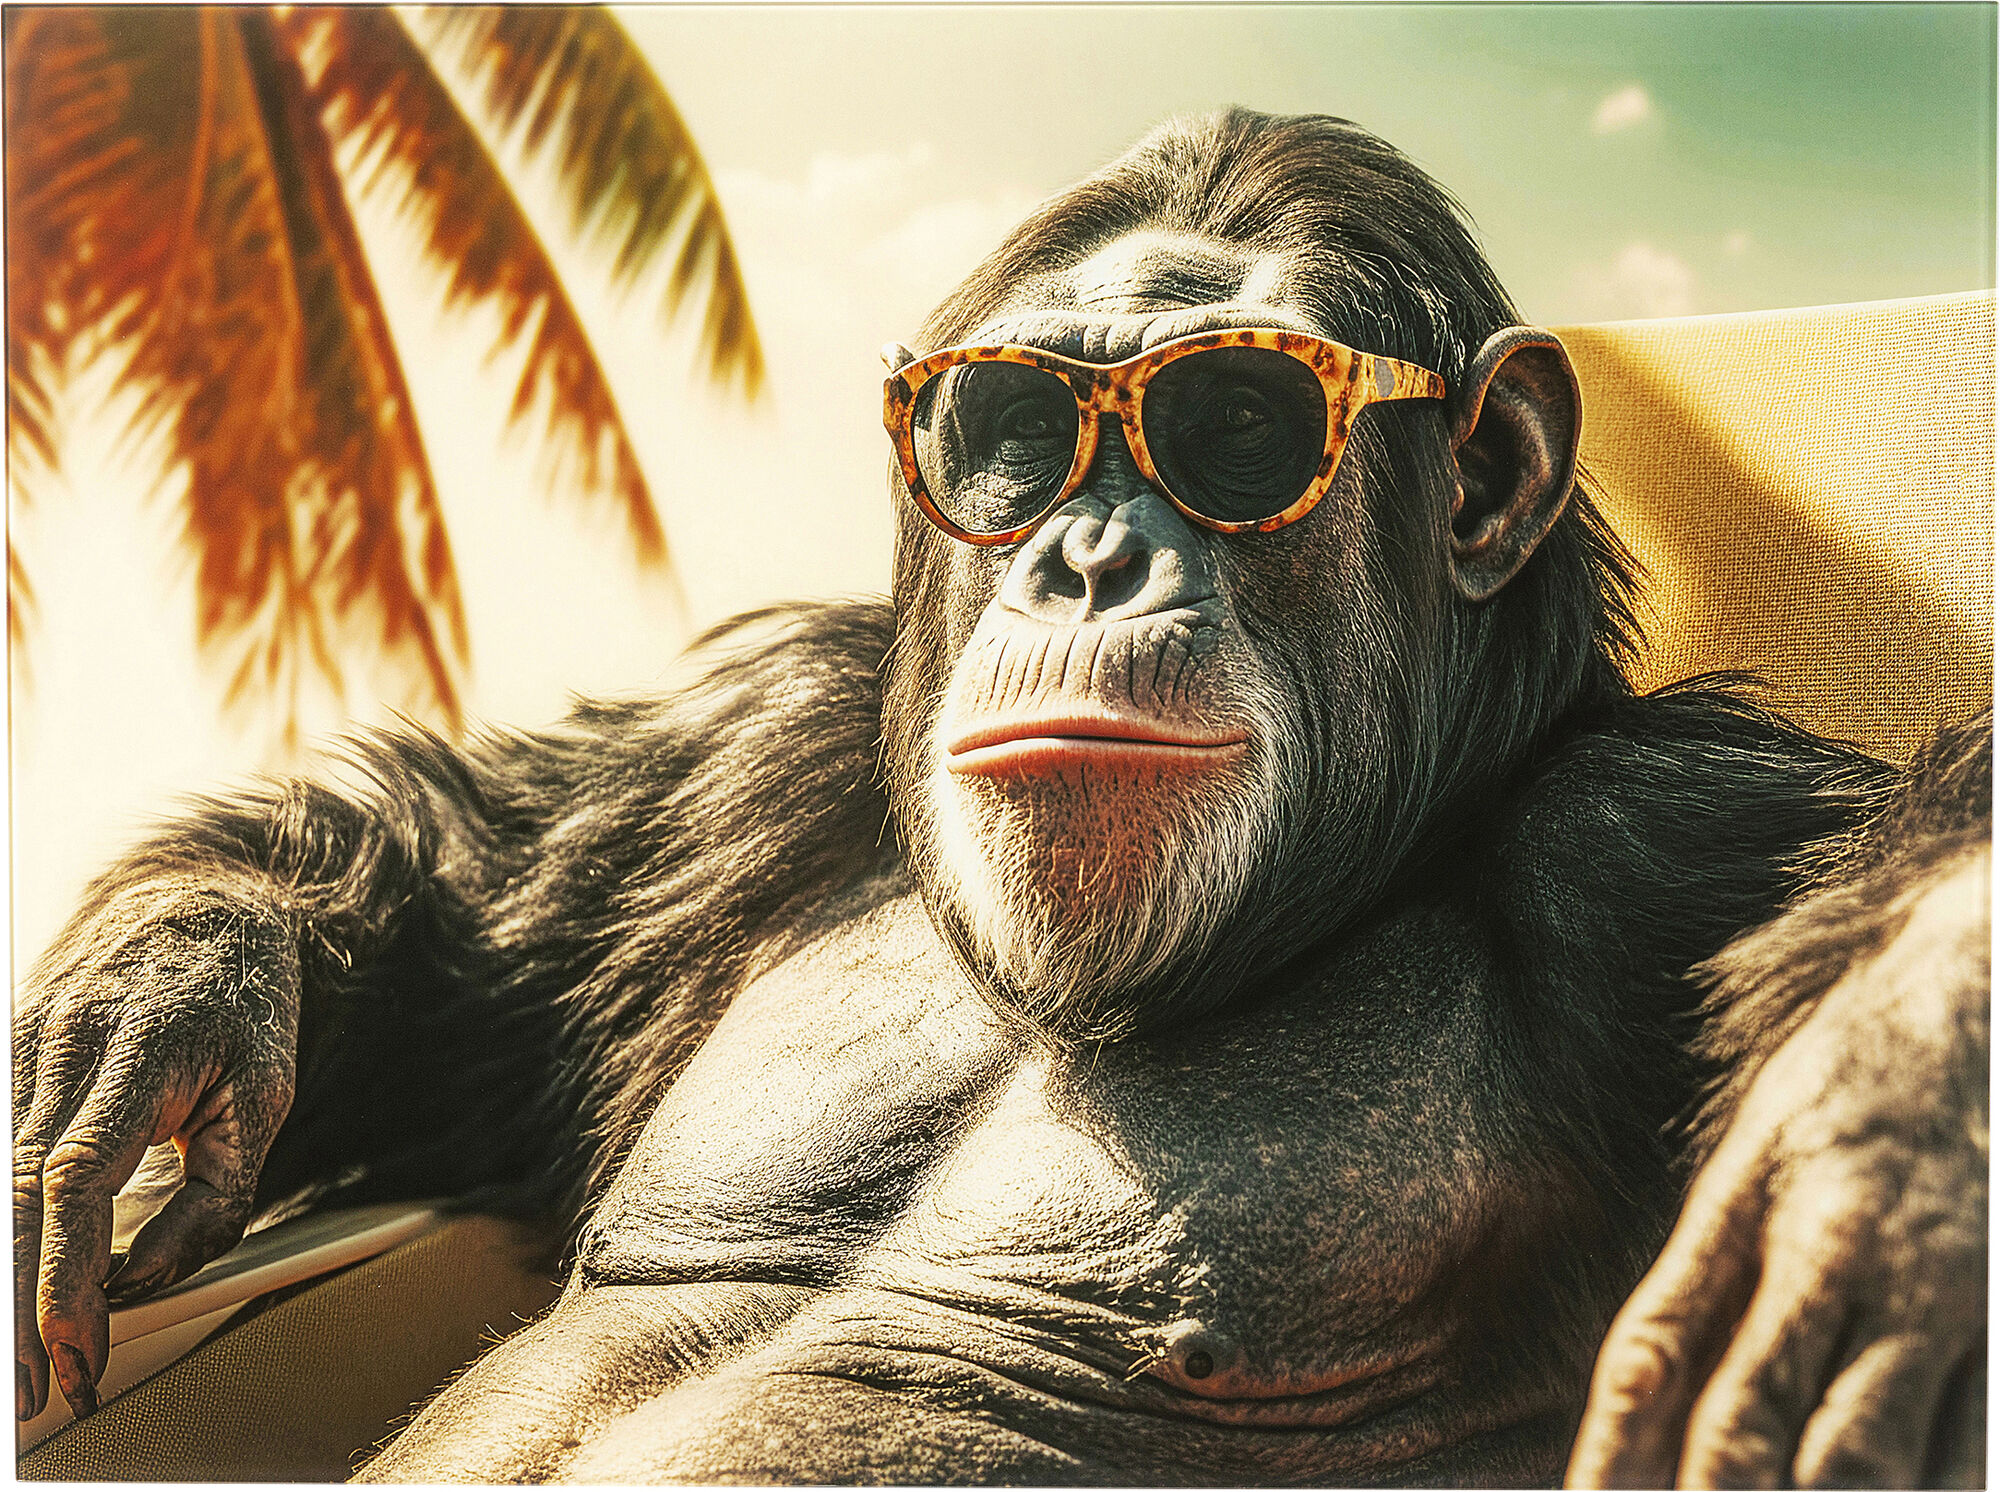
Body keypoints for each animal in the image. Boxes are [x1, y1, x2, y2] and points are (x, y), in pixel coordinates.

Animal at [14, 110, 1987, 1485]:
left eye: (1241, 427)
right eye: (1010, 435)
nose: (1085, 555)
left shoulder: (1669, 852)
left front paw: (1881, 1125)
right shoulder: (763, 758)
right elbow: (491, 927)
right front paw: (164, 991)